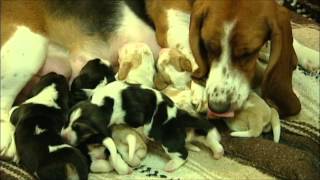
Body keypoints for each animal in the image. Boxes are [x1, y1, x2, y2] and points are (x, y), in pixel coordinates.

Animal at [61, 81, 224, 172]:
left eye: (79, 128)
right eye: (66, 122)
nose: (62, 136)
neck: (103, 104)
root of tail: (179, 116)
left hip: (168, 141)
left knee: (183, 154)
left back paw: (171, 166)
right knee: (206, 139)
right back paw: (217, 151)